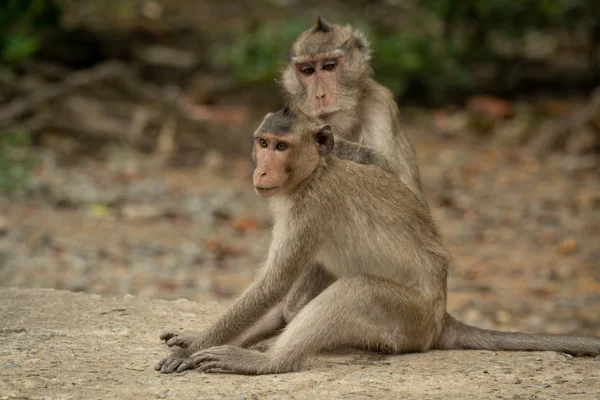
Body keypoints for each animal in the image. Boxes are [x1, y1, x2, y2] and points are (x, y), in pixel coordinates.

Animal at [156, 107, 600, 376]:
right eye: (262, 143)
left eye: (281, 147)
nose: (262, 171)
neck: (313, 174)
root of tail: (441, 318)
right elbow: (291, 292)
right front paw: (195, 339)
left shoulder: (314, 208)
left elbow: (273, 284)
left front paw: (190, 351)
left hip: (408, 321)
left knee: (358, 290)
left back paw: (268, 362)